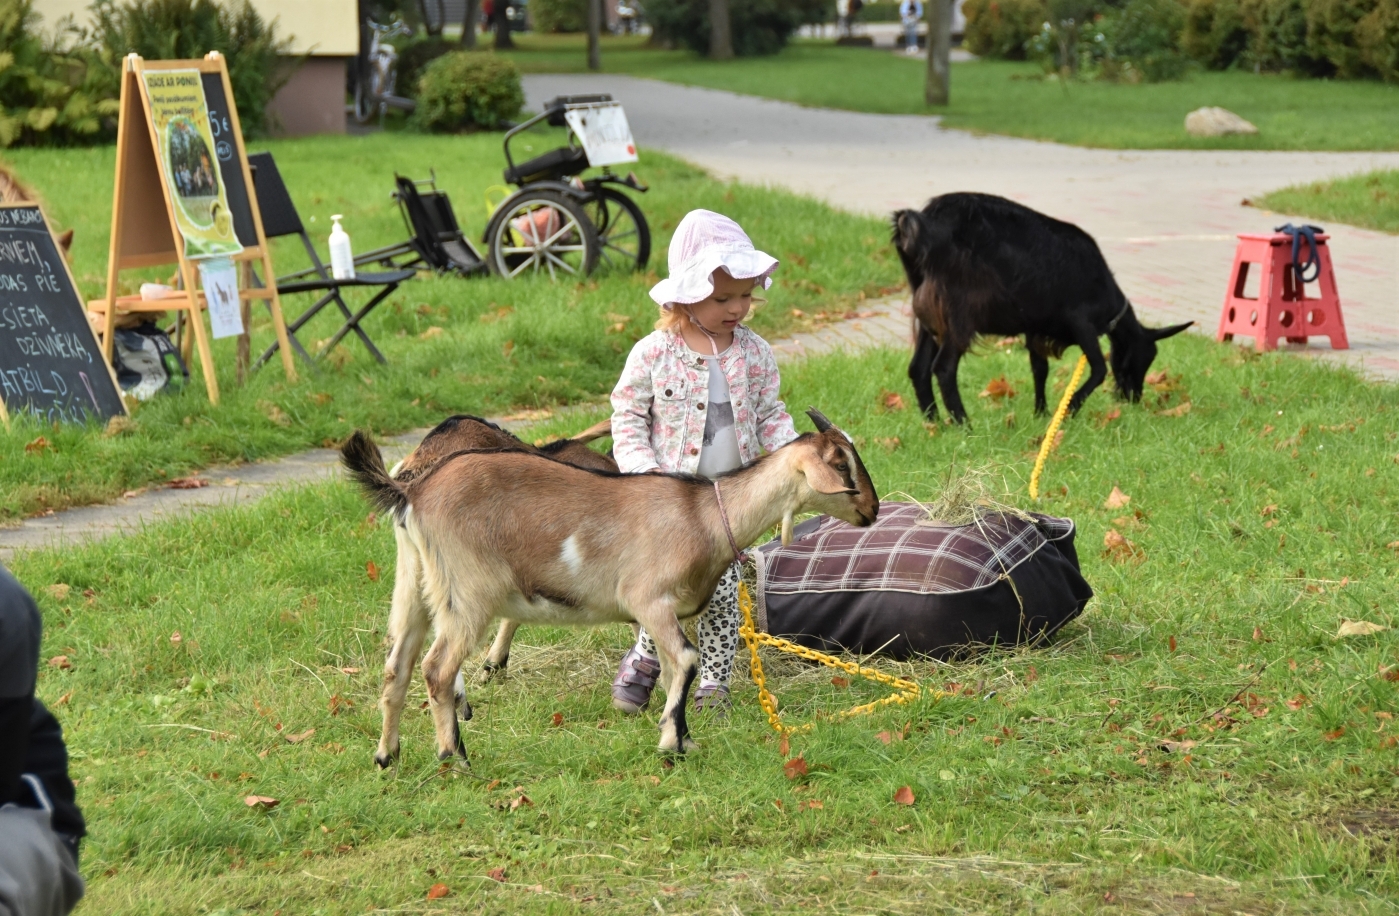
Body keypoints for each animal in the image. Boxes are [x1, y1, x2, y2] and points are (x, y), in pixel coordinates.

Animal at [341, 411, 872, 760]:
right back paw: (455, 758)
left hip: (415, 583)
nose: (872, 510)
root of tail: (411, 491)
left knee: (397, 665)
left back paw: (387, 756)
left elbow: (677, 666)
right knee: (437, 668)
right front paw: (672, 743)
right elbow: (684, 660)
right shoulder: (648, 599)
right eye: (842, 465)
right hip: (468, 593)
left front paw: (682, 736)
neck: (702, 514)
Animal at [895, 195, 1191, 425]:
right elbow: (1098, 368)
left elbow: (1040, 368)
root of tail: (921, 223)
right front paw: (1069, 409)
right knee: (943, 368)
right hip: (959, 312)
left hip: (929, 312)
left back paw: (933, 422)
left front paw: (1041, 412)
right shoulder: (1081, 321)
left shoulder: (1034, 325)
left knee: (918, 367)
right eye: (1146, 356)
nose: (1133, 397)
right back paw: (964, 424)